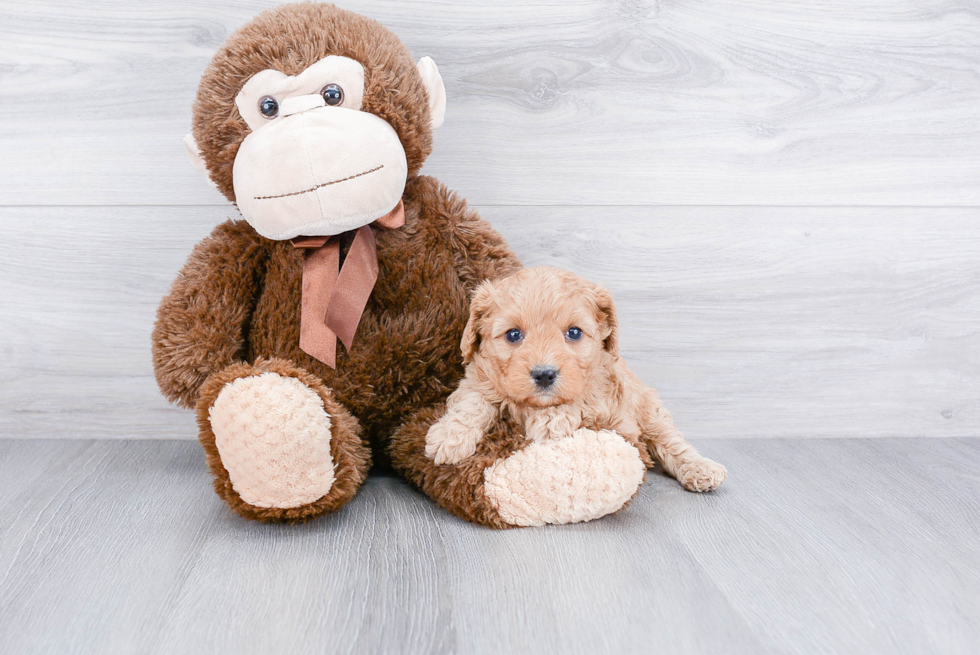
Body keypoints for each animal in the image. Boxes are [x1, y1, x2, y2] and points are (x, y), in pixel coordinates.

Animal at [428, 264, 728, 494]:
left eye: (574, 333)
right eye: (513, 335)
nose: (544, 374)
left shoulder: (610, 407)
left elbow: (582, 400)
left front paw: (551, 419)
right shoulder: (476, 379)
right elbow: (473, 402)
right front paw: (449, 437)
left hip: (650, 410)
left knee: (673, 443)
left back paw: (701, 469)